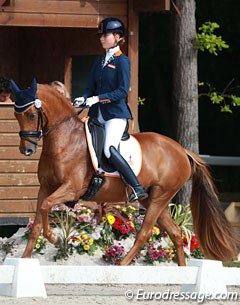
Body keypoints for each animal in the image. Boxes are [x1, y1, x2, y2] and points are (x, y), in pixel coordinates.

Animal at [11, 80, 236, 264]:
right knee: (175, 232)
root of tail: (182, 150)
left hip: (160, 196)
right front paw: (25, 259)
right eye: (16, 114)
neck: (65, 140)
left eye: (32, 114)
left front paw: (55, 238)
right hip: (154, 199)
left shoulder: (71, 189)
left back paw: (121, 264)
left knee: (145, 233)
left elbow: (47, 206)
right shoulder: (45, 188)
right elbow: (37, 222)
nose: (26, 150)